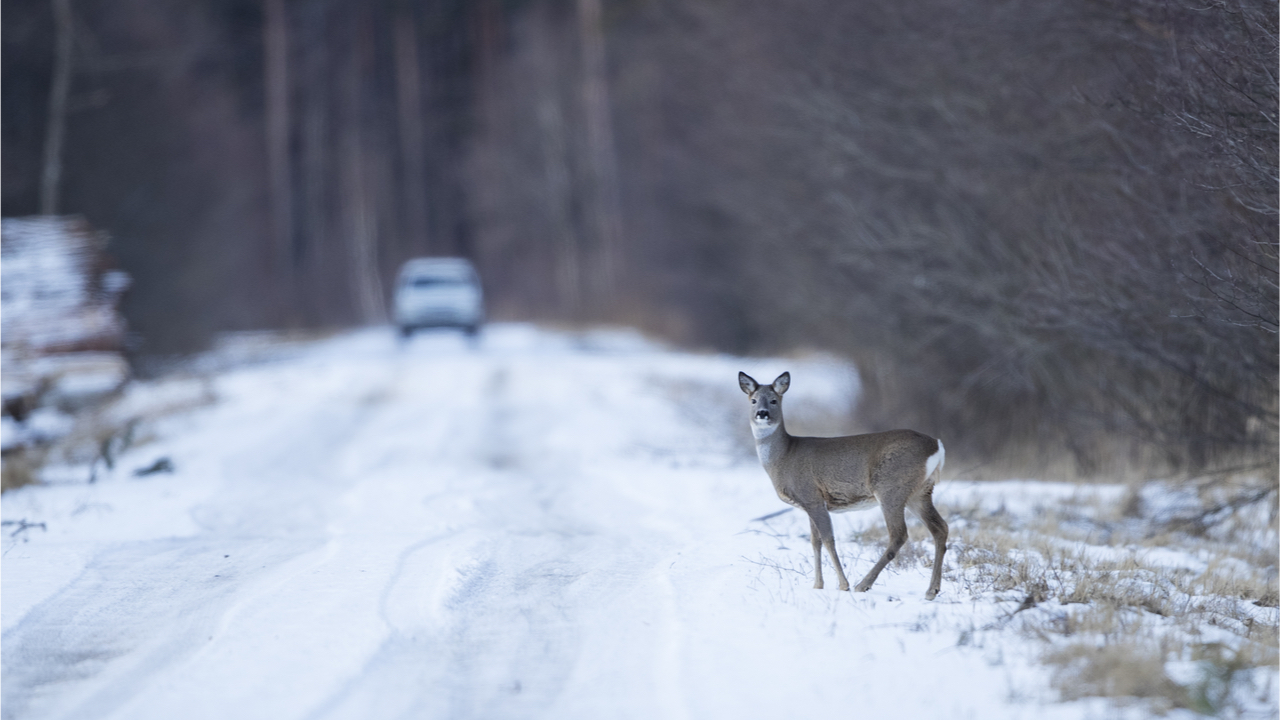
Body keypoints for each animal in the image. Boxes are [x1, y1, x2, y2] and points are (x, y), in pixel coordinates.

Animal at [742, 371, 952, 597]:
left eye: (774, 400)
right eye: (753, 400)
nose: (762, 413)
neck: (784, 456)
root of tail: (937, 445)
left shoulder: (812, 496)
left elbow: (828, 540)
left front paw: (843, 585)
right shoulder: (810, 504)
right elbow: (815, 541)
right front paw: (817, 585)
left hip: (890, 487)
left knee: (899, 534)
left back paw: (863, 584)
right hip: (920, 491)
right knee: (940, 528)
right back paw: (932, 590)